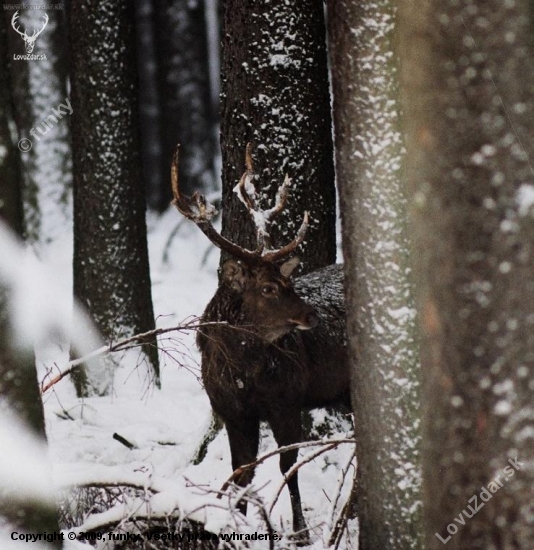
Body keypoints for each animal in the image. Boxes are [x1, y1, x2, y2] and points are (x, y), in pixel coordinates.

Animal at [170, 143, 350, 544]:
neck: (243, 375)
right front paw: (234, 524)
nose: (312, 316)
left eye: (290, 283)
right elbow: (242, 471)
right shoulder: (230, 410)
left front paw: (300, 533)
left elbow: (288, 465)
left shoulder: (287, 400)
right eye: (267, 288)